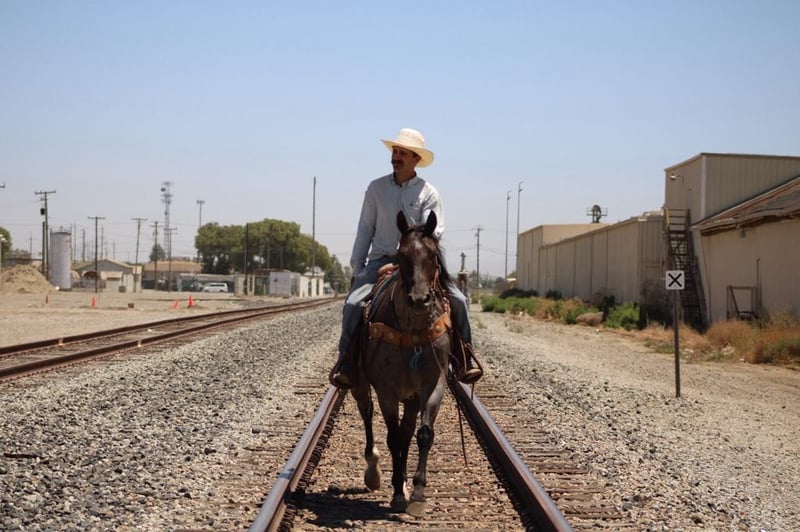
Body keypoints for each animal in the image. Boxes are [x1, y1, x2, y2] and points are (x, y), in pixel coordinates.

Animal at [350, 210, 452, 517]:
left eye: (433, 254)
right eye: (401, 254)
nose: (419, 299)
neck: (413, 331)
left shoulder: (432, 385)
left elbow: (423, 434)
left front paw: (416, 492)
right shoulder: (387, 390)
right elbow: (392, 437)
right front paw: (396, 492)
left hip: (412, 397)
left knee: (407, 433)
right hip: (359, 384)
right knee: (367, 414)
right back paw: (374, 472)